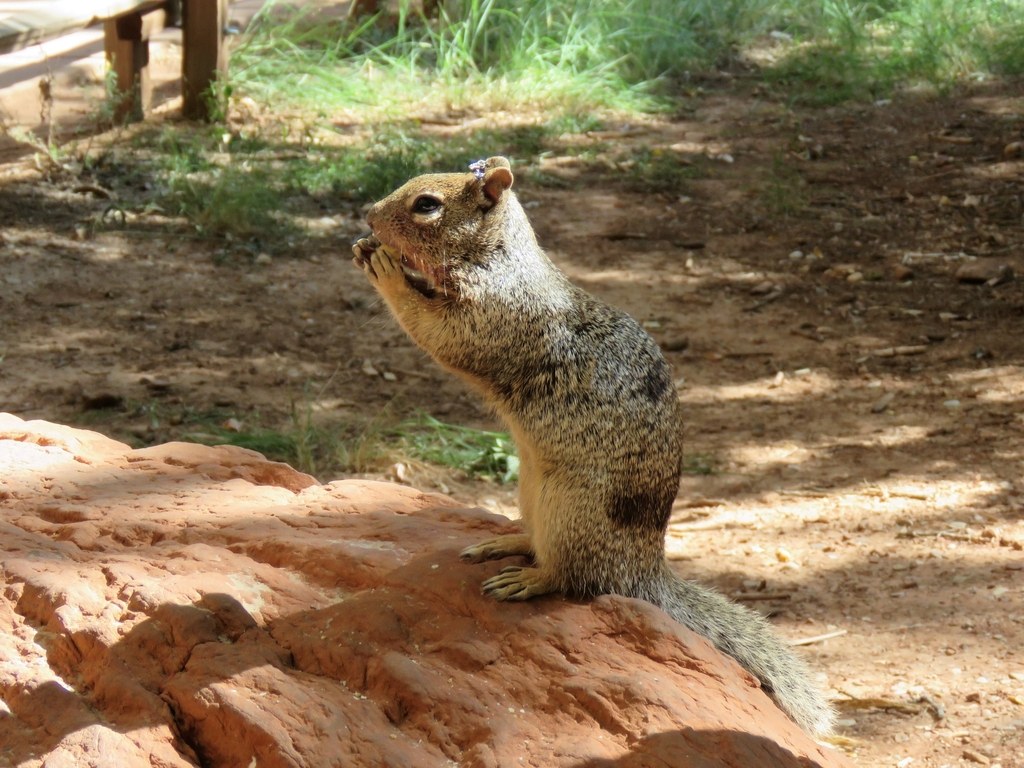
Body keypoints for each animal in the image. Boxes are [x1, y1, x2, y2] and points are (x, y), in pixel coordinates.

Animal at [352, 156, 834, 736]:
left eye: (426, 205)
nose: (368, 216)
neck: (500, 257)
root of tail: (640, 570)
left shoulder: (494, 314)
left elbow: (437, 328)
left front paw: (384, 266)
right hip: (532, 491)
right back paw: (504, 544)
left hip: (570, 510)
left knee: (574, 577)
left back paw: (529, 579)